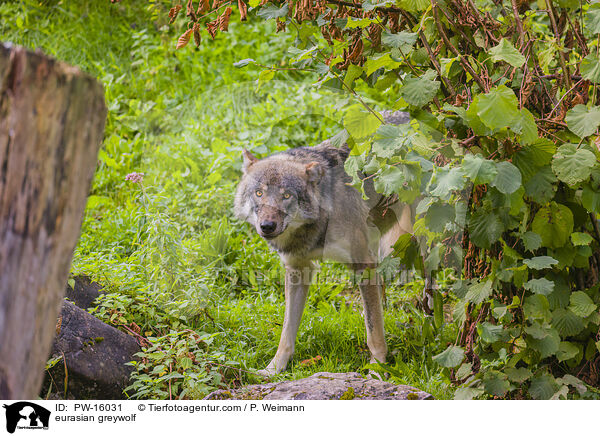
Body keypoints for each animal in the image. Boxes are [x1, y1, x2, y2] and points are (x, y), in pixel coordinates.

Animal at [232, 111, 414, 374]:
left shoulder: (363, 264)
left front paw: (377, 369)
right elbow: (286, 332)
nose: (267, 226)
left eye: (286, 195)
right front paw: (273, 370)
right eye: (259, 193)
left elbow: (373, 332)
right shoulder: (298, 269)